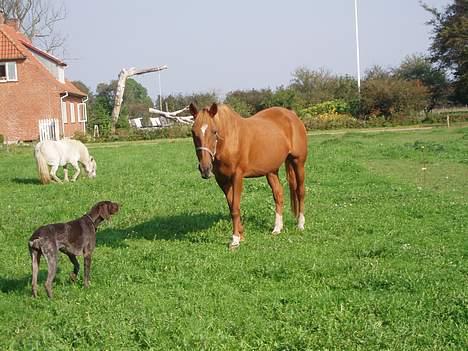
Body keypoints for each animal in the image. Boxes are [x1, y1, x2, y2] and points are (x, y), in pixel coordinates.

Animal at [188, 102, 308, 250]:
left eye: (214, 131)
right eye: (193, 132)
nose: (205, 169)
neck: (230, 139)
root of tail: (292, 116)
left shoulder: (237, 177)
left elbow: (235, 208)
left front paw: (235, 240)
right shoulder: (222, 180)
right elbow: (232, 207)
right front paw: (241, 234)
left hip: (298, 162)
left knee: (300, 191)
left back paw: (300, 224)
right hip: (271, 170)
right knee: (278, 195)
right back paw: (277, 228)